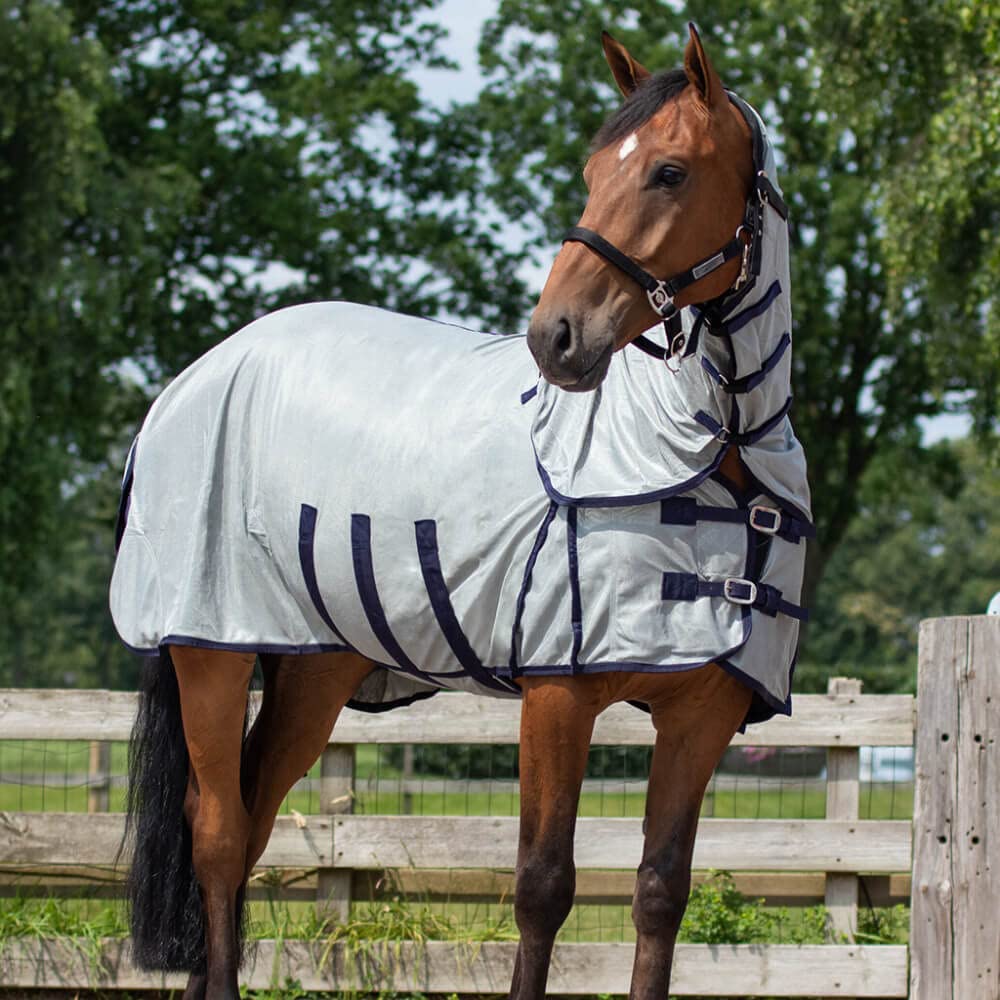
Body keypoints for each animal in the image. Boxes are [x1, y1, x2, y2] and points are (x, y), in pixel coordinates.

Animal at [111, 24, 811, 1000]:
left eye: (669, 171)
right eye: (593, 168)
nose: (556, 337)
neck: (716, 450)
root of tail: (193, 379)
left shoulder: (700, 718)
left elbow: (659, 895)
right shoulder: (558, 696)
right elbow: (543, 888)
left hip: (312, 671)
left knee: (249, 823)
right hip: (208, 649)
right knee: (215, 835)